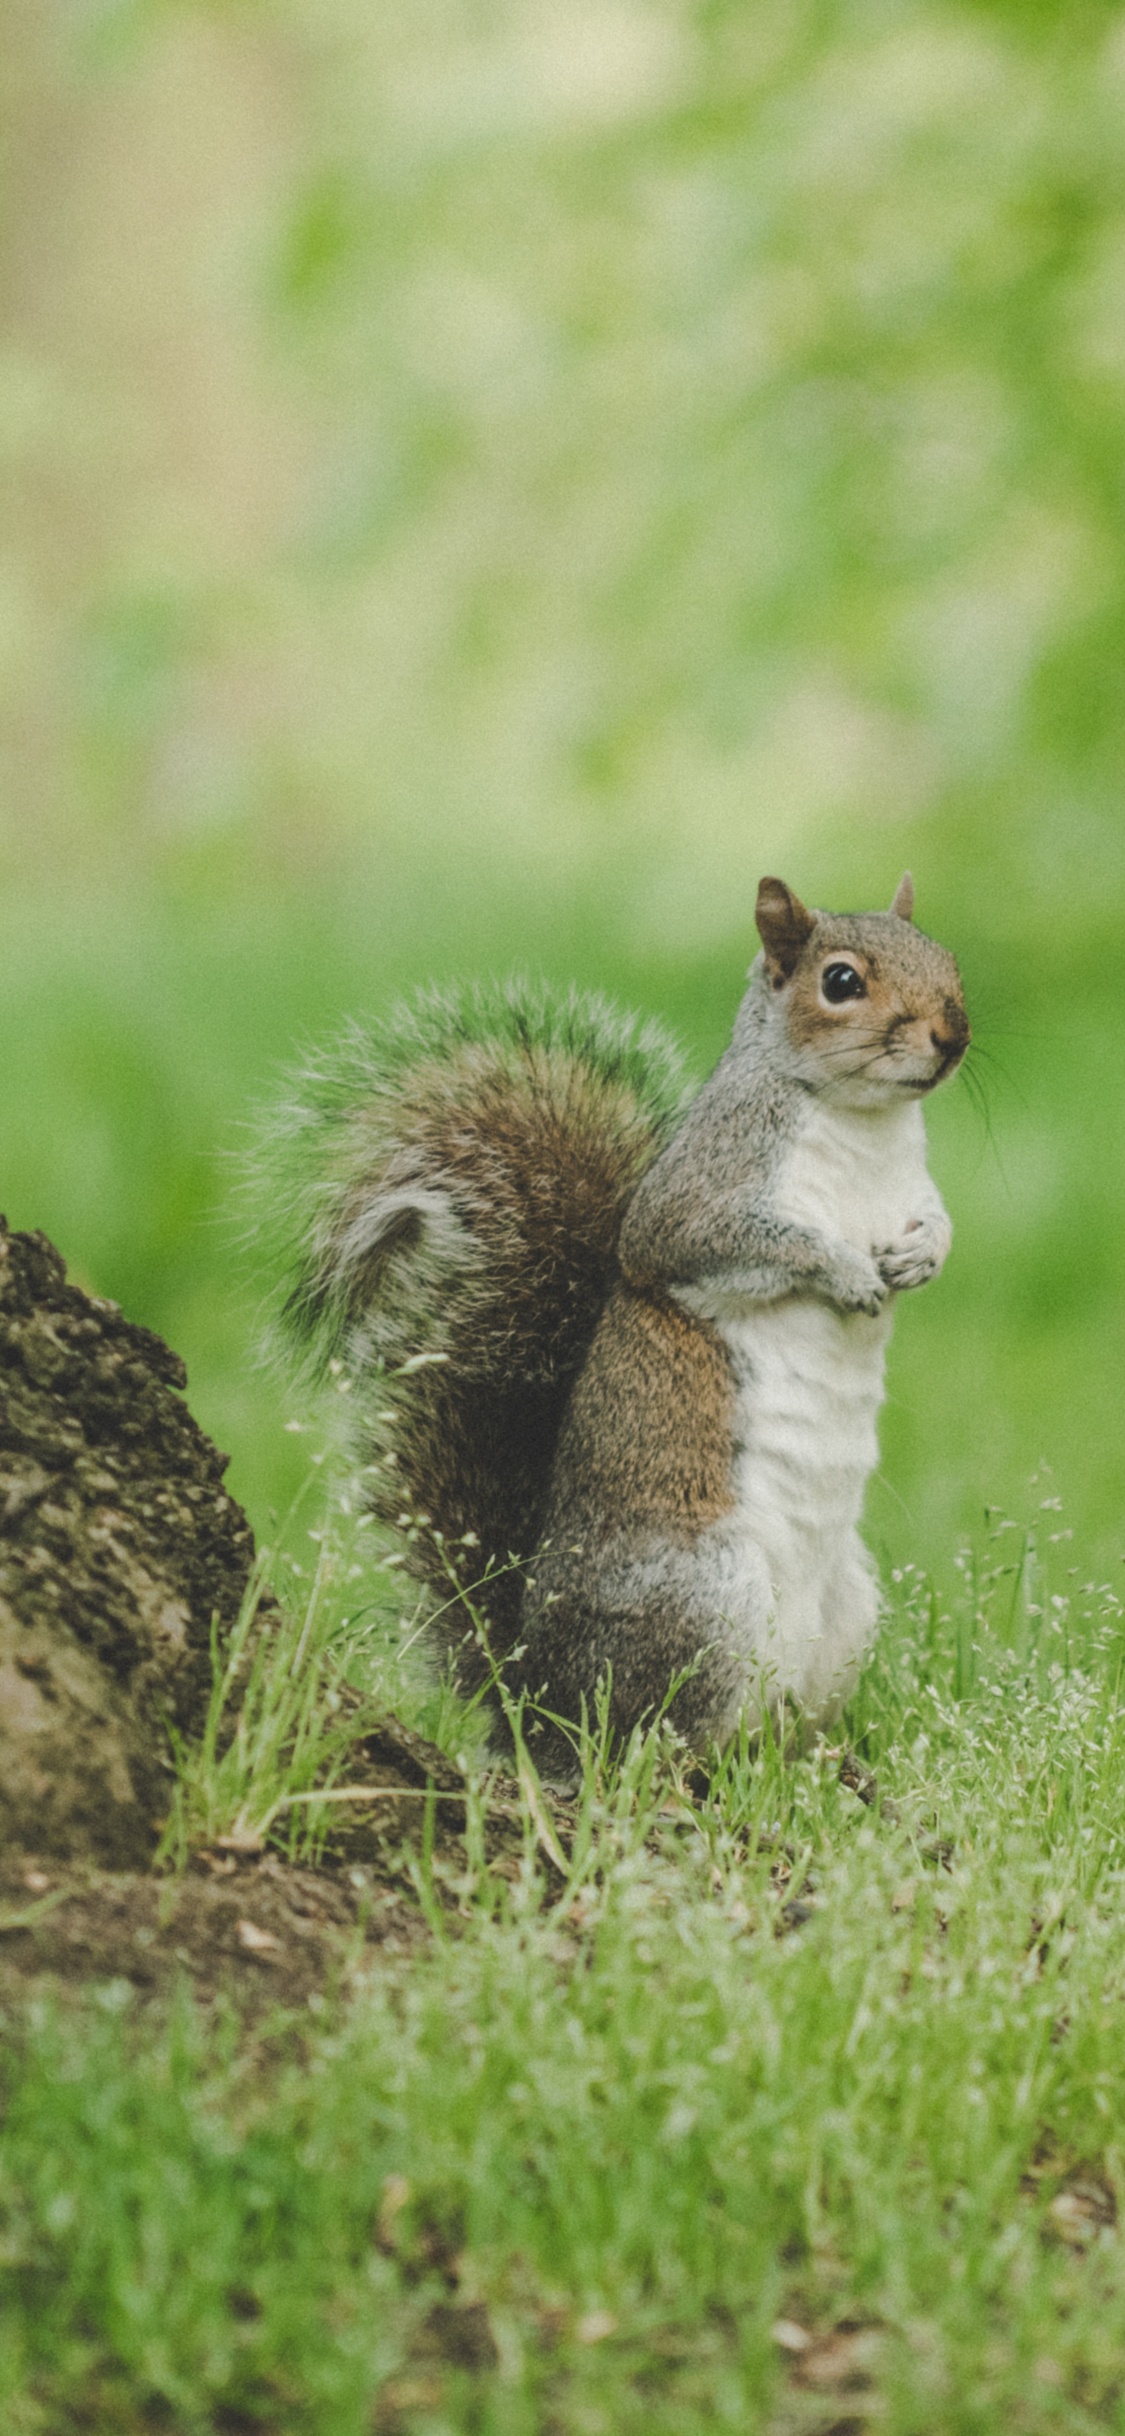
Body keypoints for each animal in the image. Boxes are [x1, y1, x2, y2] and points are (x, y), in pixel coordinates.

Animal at [257, 873, 969, 1773]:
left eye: (948, 958)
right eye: (840, 981)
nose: (952, 1035)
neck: (863, 1123)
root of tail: (532, 1701)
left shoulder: (911, 1188)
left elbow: (937, 1223)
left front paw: (921, 1259)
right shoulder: (697, 1201)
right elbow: (738, 1242)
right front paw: (843, 1271)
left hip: (844, 1614)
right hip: (703, 1598)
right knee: (645, 1741)